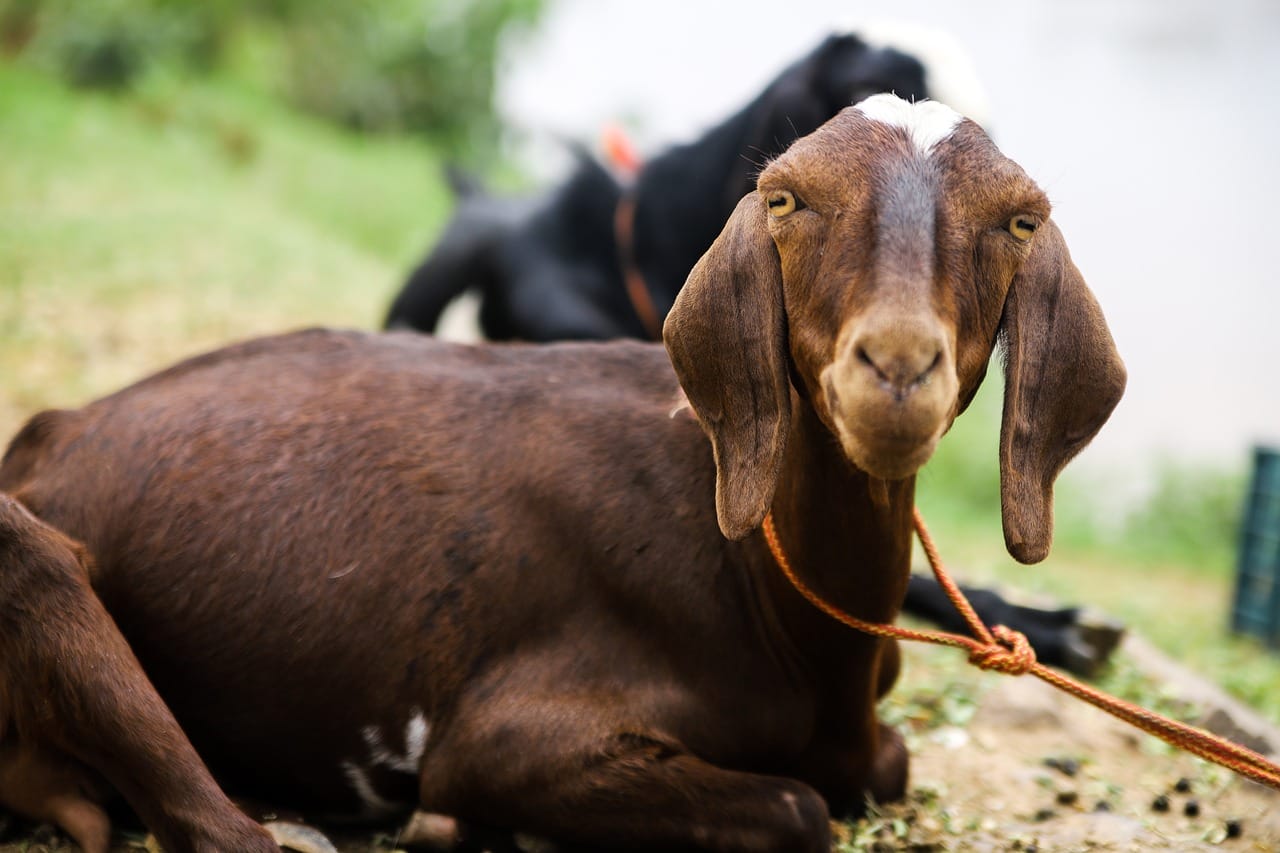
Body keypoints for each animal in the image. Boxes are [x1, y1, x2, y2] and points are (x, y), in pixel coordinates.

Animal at [0, 96, 1121, 845]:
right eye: (786, 198)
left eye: (1018, 219)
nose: (893, 365)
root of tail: (46, 434)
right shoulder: (504, 736)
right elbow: (800, 803)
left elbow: (881, 764)